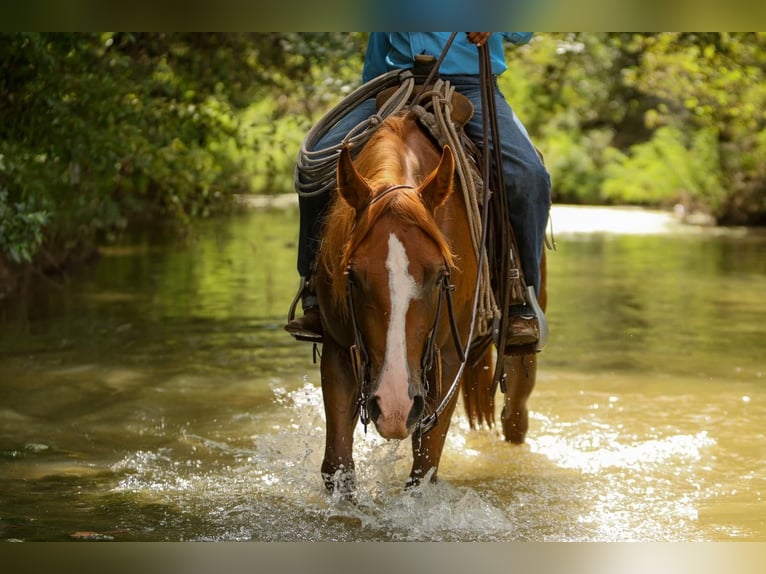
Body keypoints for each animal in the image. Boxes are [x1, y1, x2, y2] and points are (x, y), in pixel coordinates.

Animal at [312, 110, 544, 498]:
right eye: (353, 278)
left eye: (439, 275)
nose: (393, 406)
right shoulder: (339, 349)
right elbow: (337, 467)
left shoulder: (448, 359)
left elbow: (423, 472)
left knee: (515, 417)